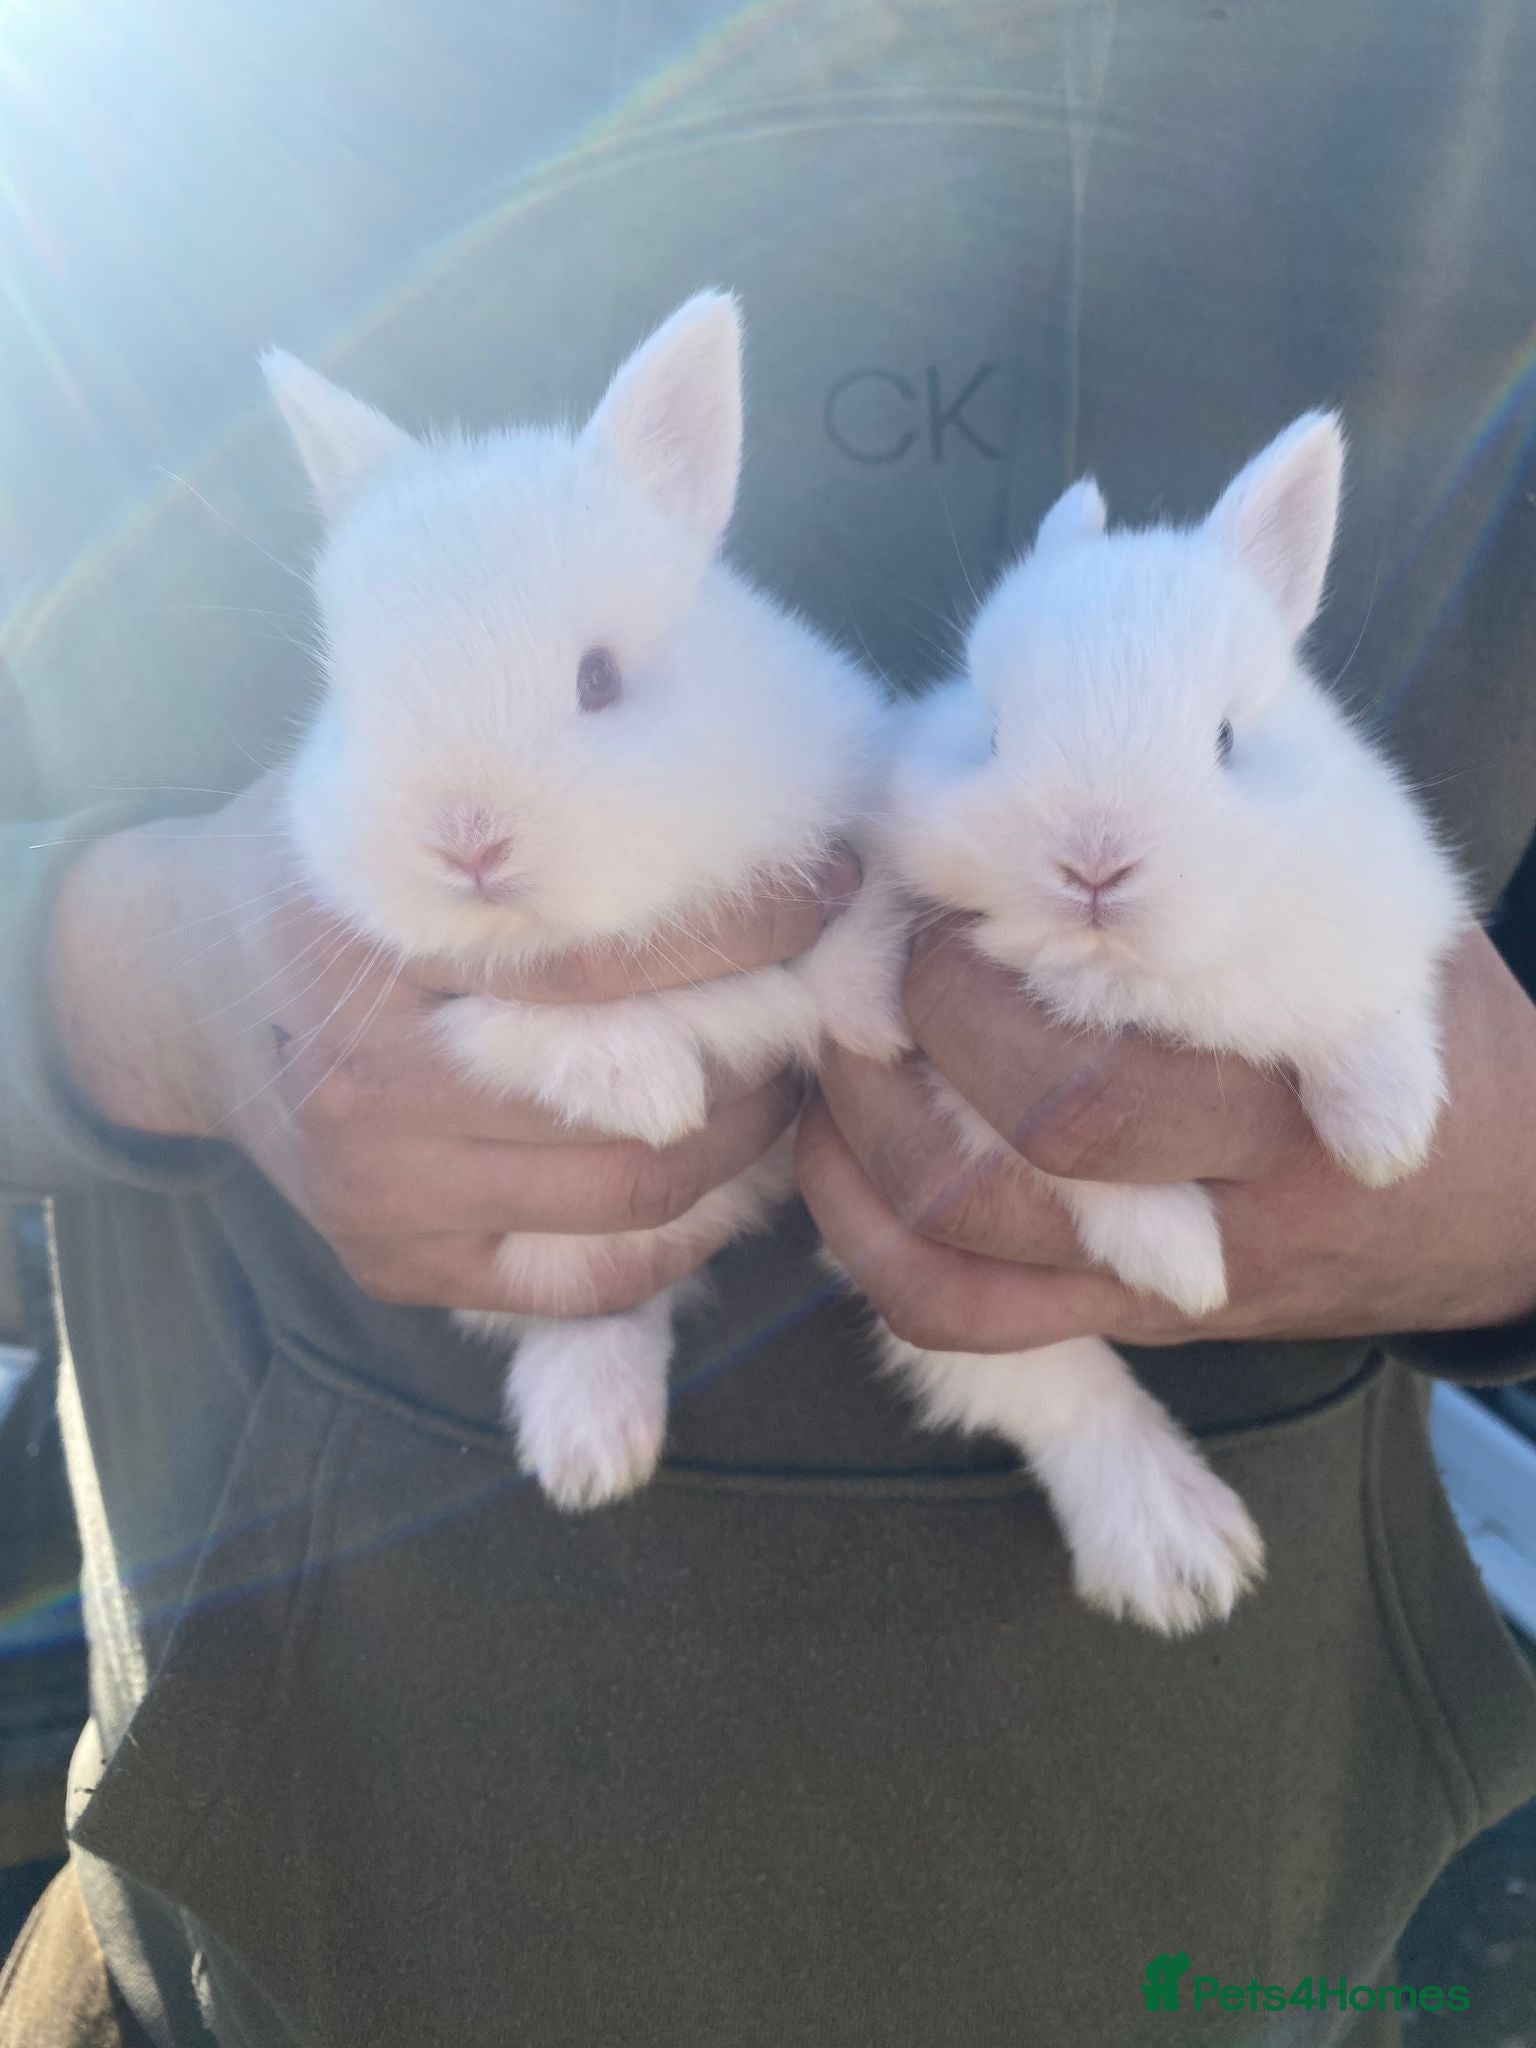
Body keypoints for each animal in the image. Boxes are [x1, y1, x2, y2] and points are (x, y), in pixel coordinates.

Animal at [264, 291, 909, 1510]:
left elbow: (856, 901)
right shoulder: (449, 993)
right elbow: (524, 1019)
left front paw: (875, 1011)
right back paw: (589, 1447)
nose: (466, 844)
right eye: (355, 705)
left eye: (599, 679)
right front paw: (654, 1095)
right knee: (597, 1303)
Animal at [870, 410, 1470, 1635]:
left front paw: (1386, 1144)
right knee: (1059, 1399)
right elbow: (1093, 1184)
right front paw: (1189, 1269)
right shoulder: (969, 1101)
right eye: (988, 732)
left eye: (1229, 739)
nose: (1093, 865)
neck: (1134, 984)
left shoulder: (1383, 916)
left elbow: (1376, 1018)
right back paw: (1176, 1552)